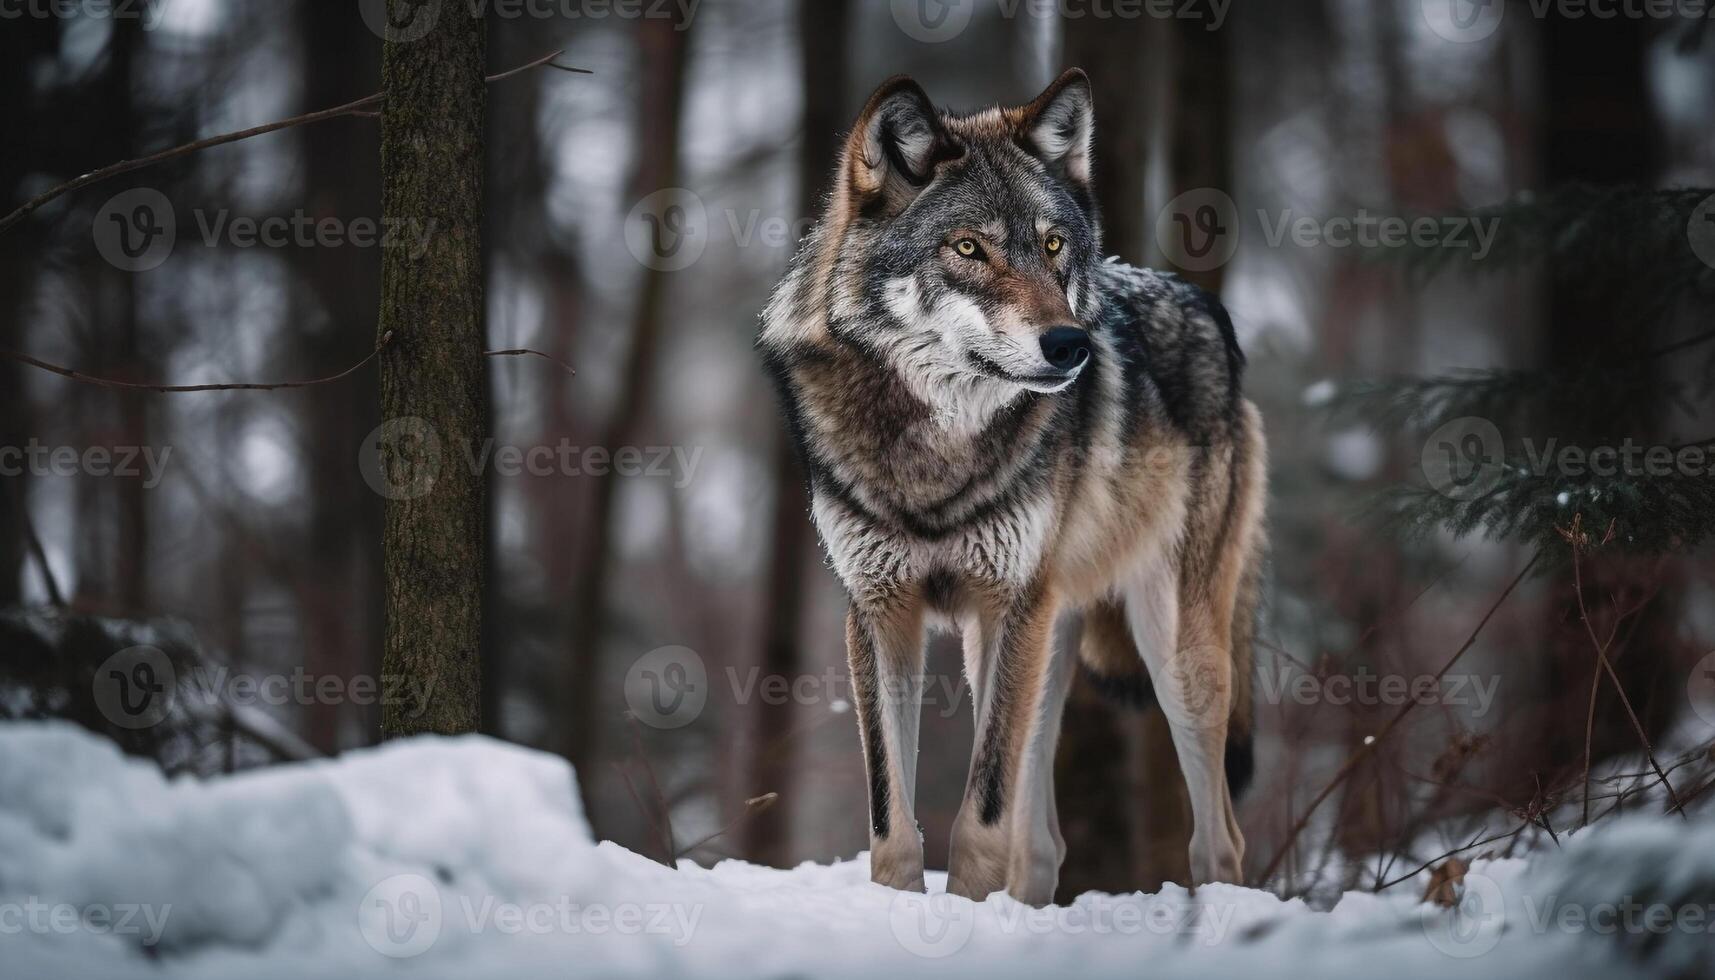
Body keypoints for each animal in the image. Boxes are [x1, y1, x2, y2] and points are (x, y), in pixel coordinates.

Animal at [758, 70, 1269, 913]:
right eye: (969, 247)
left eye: (1053, 245)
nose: (1071, 345)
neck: (934, 452)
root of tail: (1210, 311)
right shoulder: (880, 613)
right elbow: (891, 819)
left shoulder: (1005, 607)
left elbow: (981, 815)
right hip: (1029, 646)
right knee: (1042, 846)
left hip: (1170, 649)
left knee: (1218, 838)